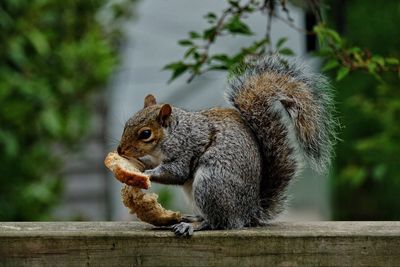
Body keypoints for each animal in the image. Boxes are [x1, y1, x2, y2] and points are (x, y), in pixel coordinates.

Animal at [117, 56, 336, 237]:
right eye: (126, 123)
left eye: (145, 134)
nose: (120, 150)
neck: (171, 135)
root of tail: (247, 213)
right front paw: (139, 165)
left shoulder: (185, 148)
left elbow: (176, 172)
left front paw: (146, 174)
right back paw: (192, 218)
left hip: (211, 184)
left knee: (218, 222)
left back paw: (192, 225)